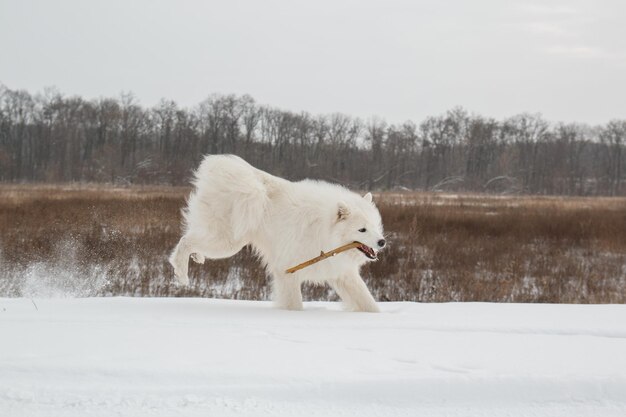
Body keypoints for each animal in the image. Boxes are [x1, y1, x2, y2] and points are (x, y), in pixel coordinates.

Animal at [171, 154, 386, 310]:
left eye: (376, 226)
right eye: (362, 229)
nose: (382, 242)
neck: (324, 230)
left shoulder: (342, 273)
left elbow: (367, 301)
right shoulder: (288, 270)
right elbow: (294, 304)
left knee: (192, 237)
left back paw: (197, 257)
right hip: (227, 242)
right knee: (185, 241)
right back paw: (181, 273)